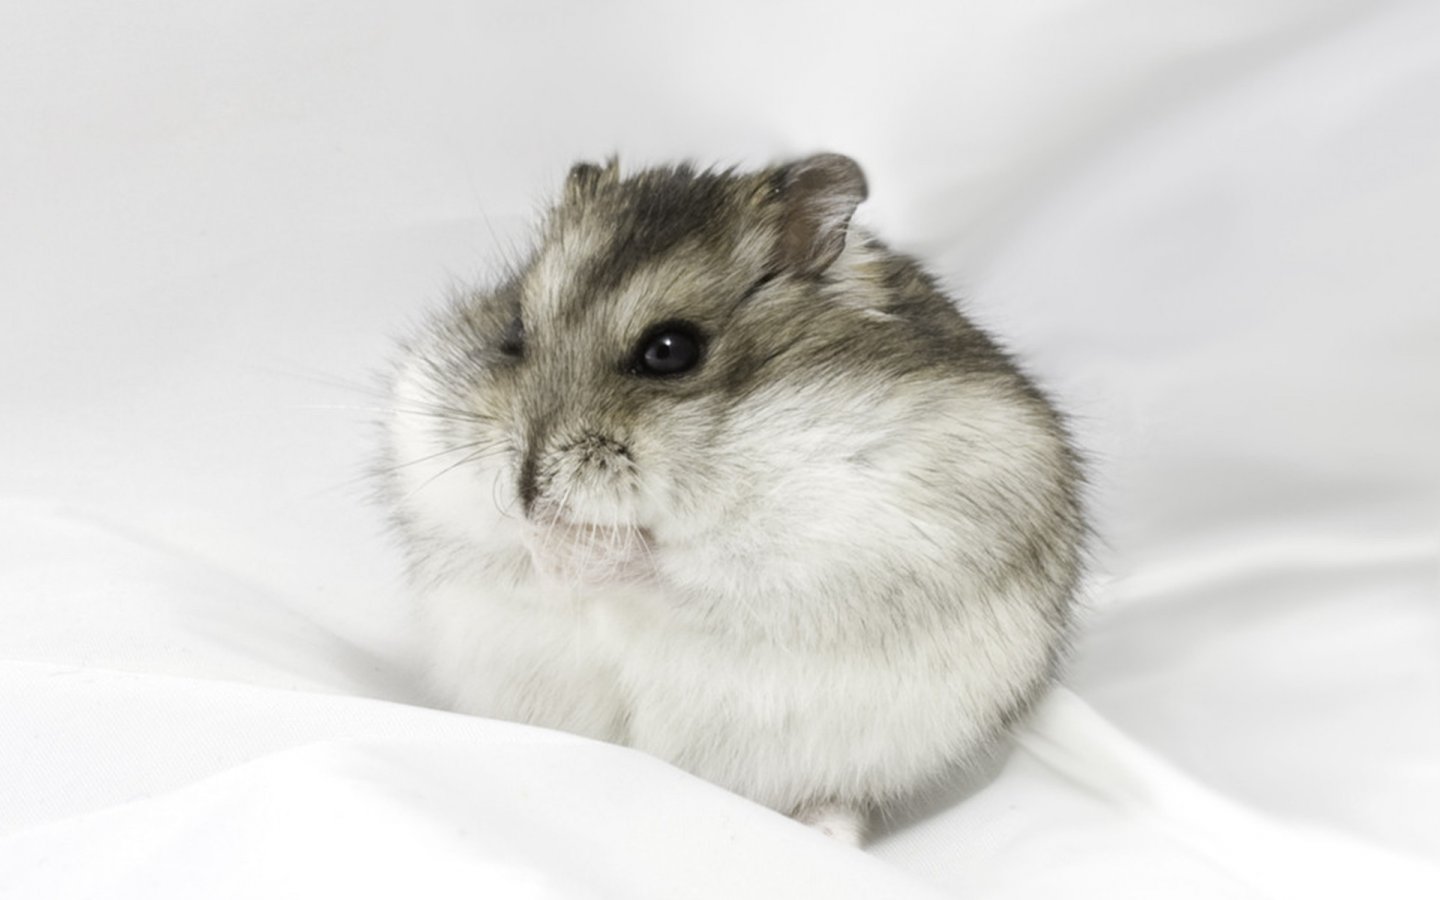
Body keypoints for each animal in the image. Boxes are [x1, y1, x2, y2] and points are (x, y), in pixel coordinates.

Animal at [378, 154, 1085, 844]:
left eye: (669, 351)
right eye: (515, 332)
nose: (526, 492)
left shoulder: (842, 525)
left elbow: (673, 564)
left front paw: (581, 541)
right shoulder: (435, 464)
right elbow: (504, 546)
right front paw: (541, 534)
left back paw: (829, 835)